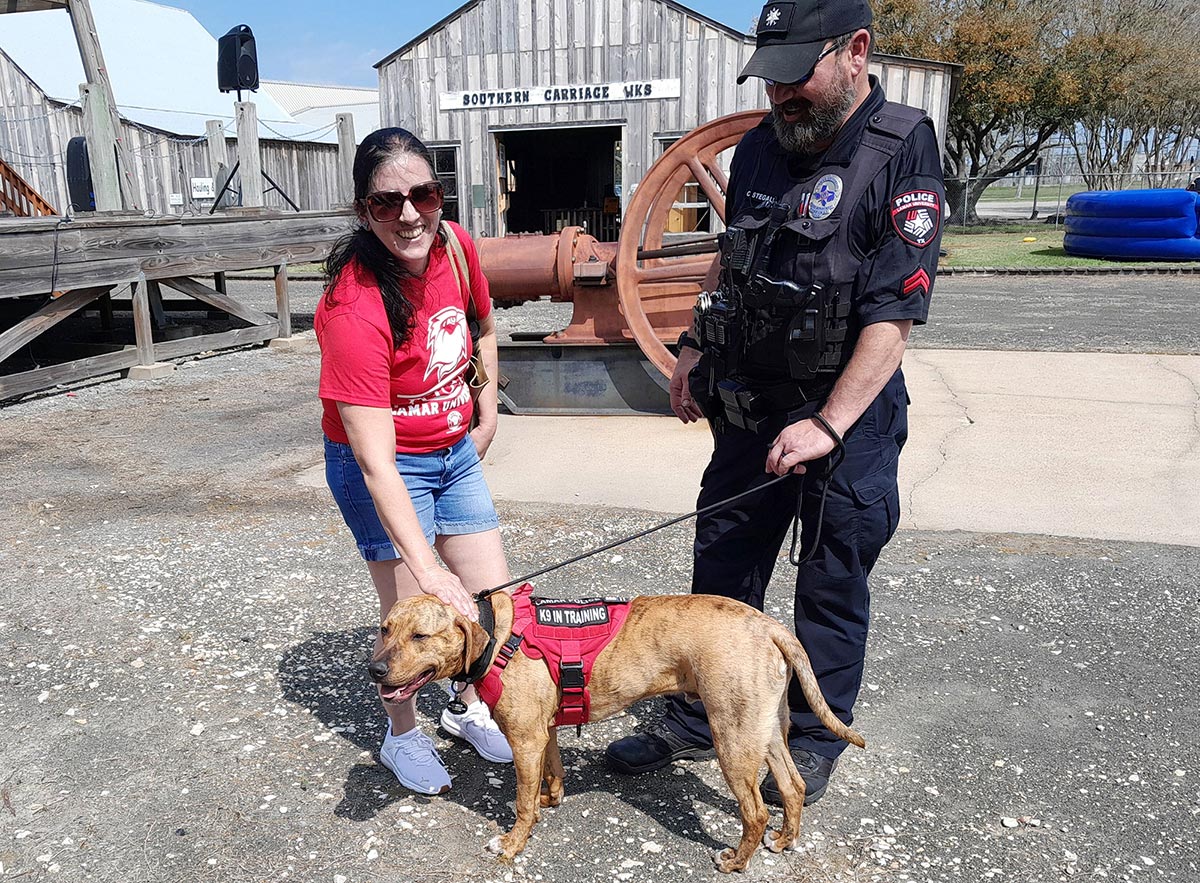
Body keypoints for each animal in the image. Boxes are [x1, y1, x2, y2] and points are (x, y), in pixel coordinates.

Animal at [372, 590, 864, 873]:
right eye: (385, 629)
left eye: (420, 636)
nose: (374, 669)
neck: (495, 634)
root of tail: (769, 626)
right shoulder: (544, 733)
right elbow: (551, 773)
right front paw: (551, 799)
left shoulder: (525, 741)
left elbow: (521, 802)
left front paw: (513, 844)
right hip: (764, 729)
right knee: (792, 786)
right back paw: (785, 838)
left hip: (732, 737)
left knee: (756, 811)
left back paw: (737, 861)